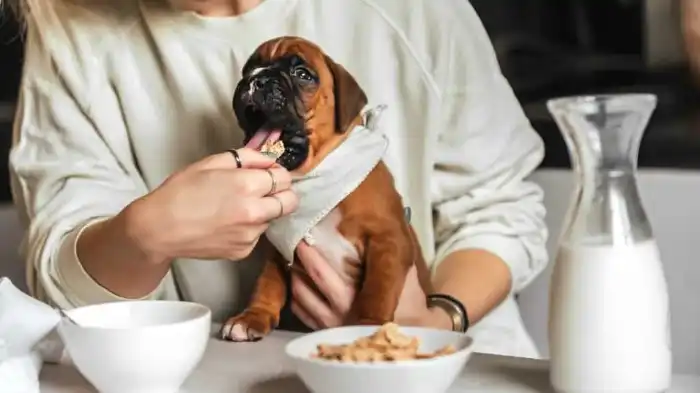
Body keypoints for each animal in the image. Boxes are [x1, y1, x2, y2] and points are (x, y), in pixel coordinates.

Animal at [224, 36, 432, 342]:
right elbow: (268, 283)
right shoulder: (280, 252)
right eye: (249, 68)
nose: (257, 79)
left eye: (302, 74)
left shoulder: (389, 238)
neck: (316, 175)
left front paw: (368, 324)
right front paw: (253, 316)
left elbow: (377, 288)